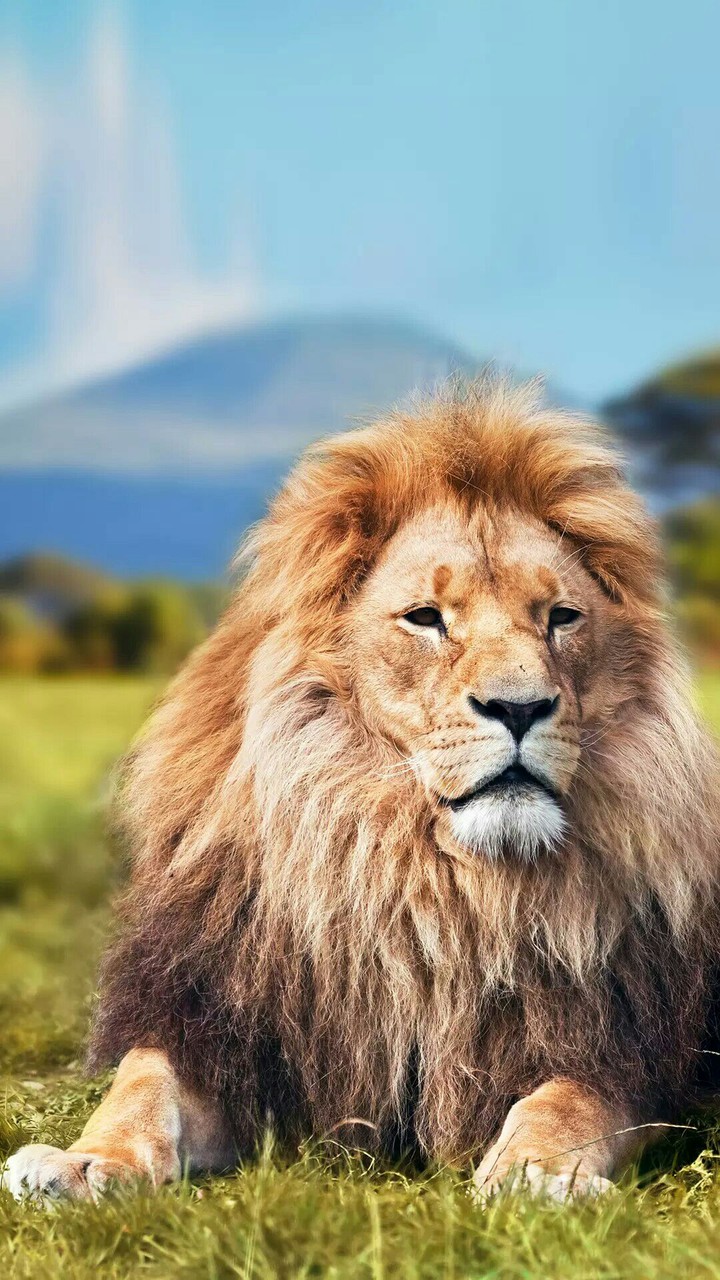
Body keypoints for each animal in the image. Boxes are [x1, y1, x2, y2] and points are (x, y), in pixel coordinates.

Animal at [5, 379, 720, 1203]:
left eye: (561, 617)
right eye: (426, 619)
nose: (520, 707)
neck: (422, 877)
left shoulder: (624, 1047)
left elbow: (568, 1102)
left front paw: (536, 1173)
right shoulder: (225, 1027)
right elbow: (142, 1085)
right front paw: (81, 1162)